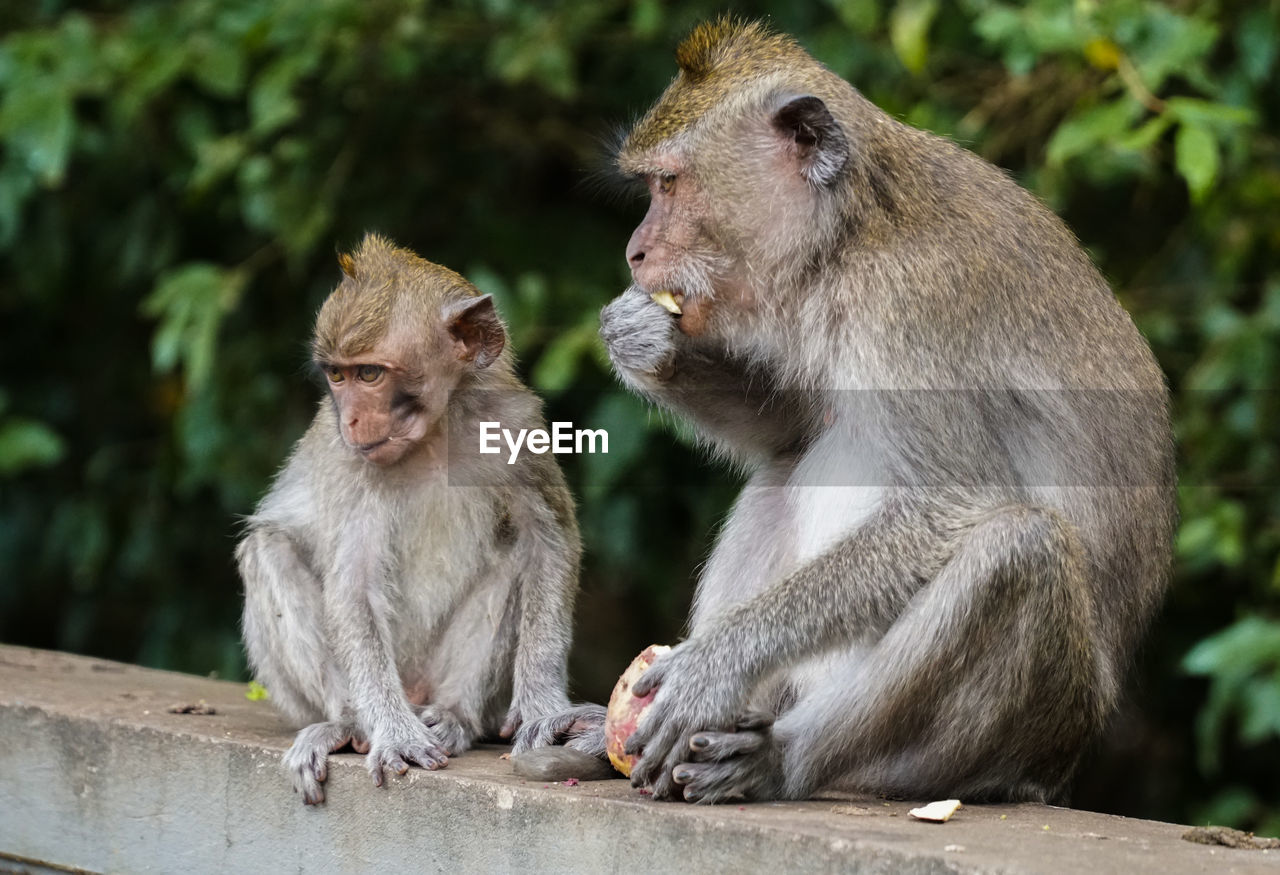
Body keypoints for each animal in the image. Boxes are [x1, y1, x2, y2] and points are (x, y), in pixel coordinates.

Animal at [240, 234, 581, 808]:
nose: (352, 419)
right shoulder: (351, 465)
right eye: (337, 375)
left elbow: (547, 540)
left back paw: (454, 716)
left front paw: (542, 706)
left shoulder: (515, 424)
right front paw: (394, 735)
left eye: (370, 374)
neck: (435, 435)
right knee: (268, 547)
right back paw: (350, 725)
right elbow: (353, 585)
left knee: (515, 553)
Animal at [514, 18, 1172, 808]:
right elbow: (793, 428)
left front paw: (711, 666)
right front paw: (644, 340)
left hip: (1031, 731)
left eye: (669, 183)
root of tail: (1056, 771)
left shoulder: (908, 305)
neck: (849, 235)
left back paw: (781, 761)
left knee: (1018, 550)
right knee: (782, 473)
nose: (636, 252)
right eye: (649, 187)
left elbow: (954, 498)